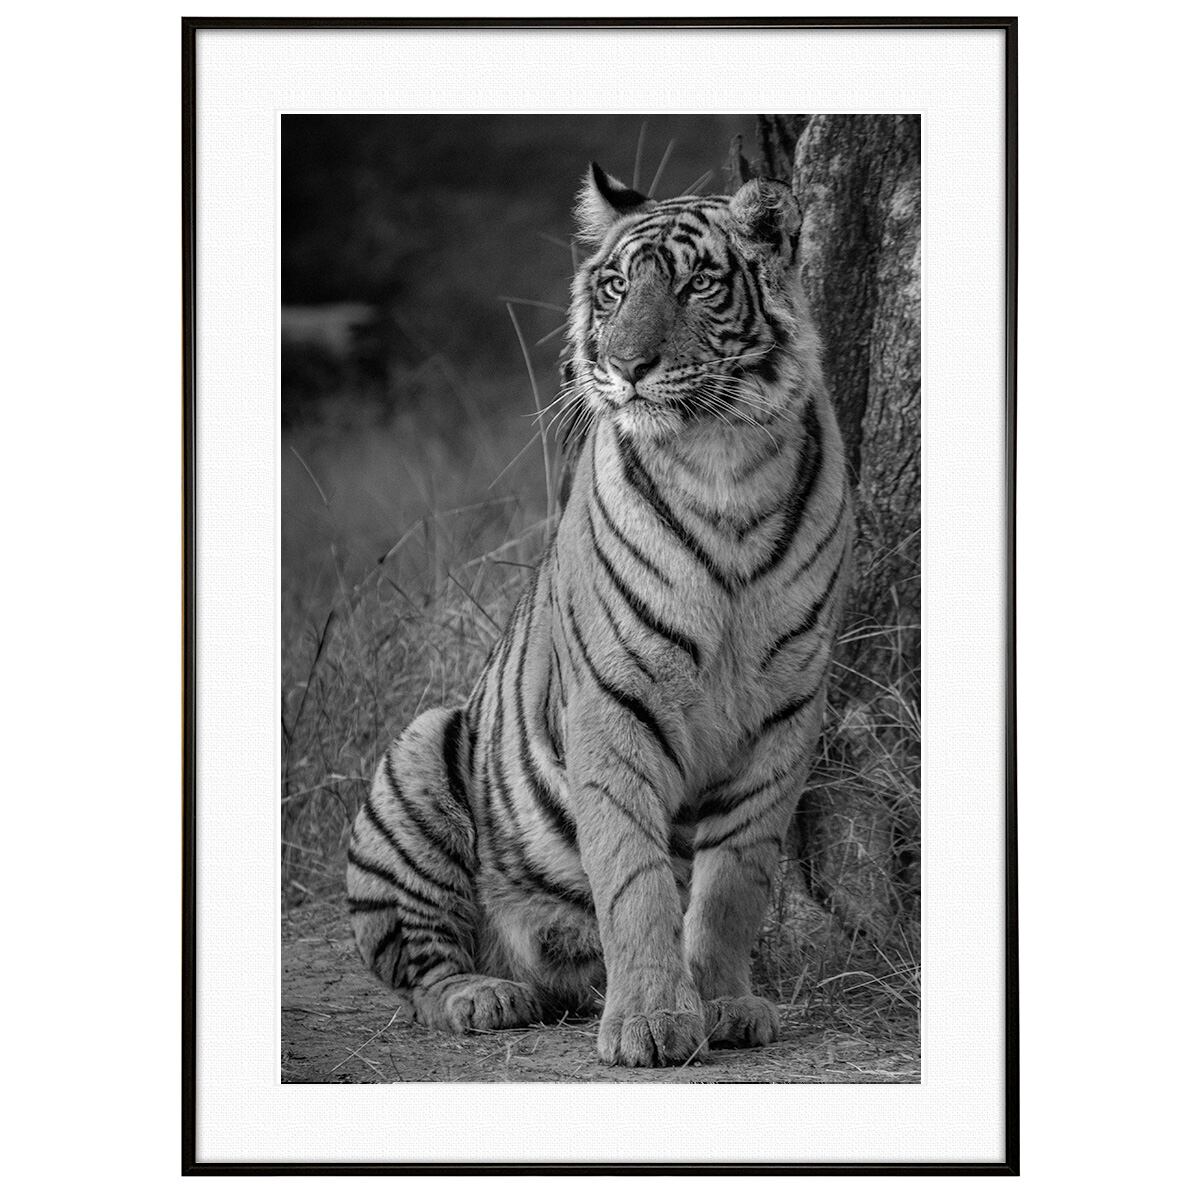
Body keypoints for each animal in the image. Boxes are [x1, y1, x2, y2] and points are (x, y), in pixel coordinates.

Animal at [347, 162, 852, 1068]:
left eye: (695, 285)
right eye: (615, 287)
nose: (627, 365)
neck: (725, 463)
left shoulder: (786, 712)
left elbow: (735, 881)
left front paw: (724, 1004)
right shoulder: (615, 699)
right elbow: (633, 875)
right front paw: (650, 1022)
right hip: (418, 754)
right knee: (420, 970)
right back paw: (485, 994)